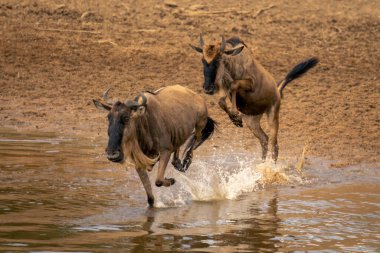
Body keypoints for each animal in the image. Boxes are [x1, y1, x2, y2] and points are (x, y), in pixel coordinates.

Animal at [190, 33, 318, 161]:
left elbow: (234, 85)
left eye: (218, 60)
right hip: (252, 122)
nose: (207, 88)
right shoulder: (225, 89)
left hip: (273, 115)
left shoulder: (250, 84)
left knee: (274, 144)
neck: (235, 62)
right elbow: (221, 101)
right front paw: (236, 120)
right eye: (203, 60)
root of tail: (277, 90)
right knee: (264, 140)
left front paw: (236, 116)